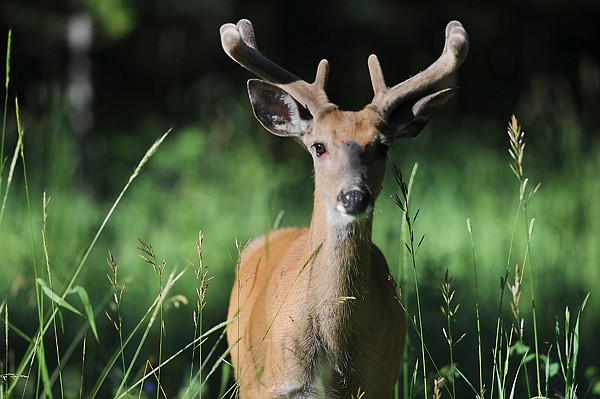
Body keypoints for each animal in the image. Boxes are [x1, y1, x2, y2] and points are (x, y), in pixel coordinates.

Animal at [221, 19, 468, 399]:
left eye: (382, 146)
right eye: (319, 146)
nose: (354, 197)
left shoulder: (380, 382)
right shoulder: (275, 384)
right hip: (247, 374)